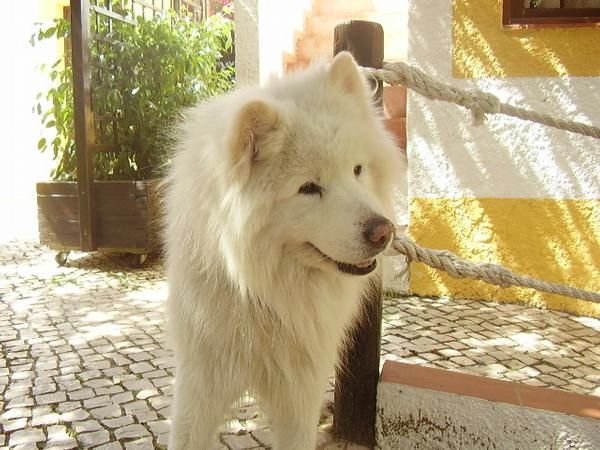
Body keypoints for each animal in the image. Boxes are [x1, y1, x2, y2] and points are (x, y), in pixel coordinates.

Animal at [164, 53, 406, 450]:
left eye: (357, 169)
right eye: (308, 188)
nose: (383, 232)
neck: (263, 291)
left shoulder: (300, 390)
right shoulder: (199, 384)